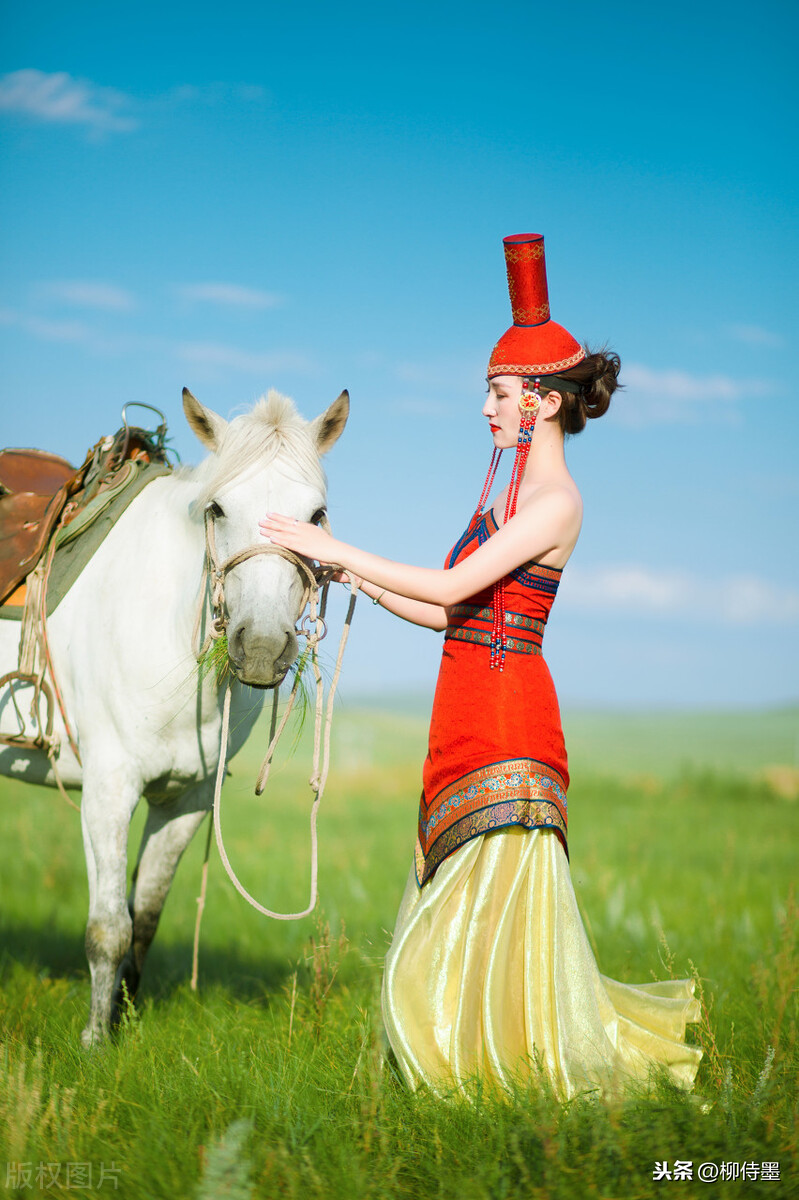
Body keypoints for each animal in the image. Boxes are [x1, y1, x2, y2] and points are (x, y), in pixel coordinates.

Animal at [0, 388, 347, 1046]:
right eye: (217, 508)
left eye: (316, 516)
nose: (261, 648)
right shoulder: (108, 790)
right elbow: (107, 928)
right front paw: (93, 1044)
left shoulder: (184, 800)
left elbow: (144, 920)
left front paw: (122, 1023)